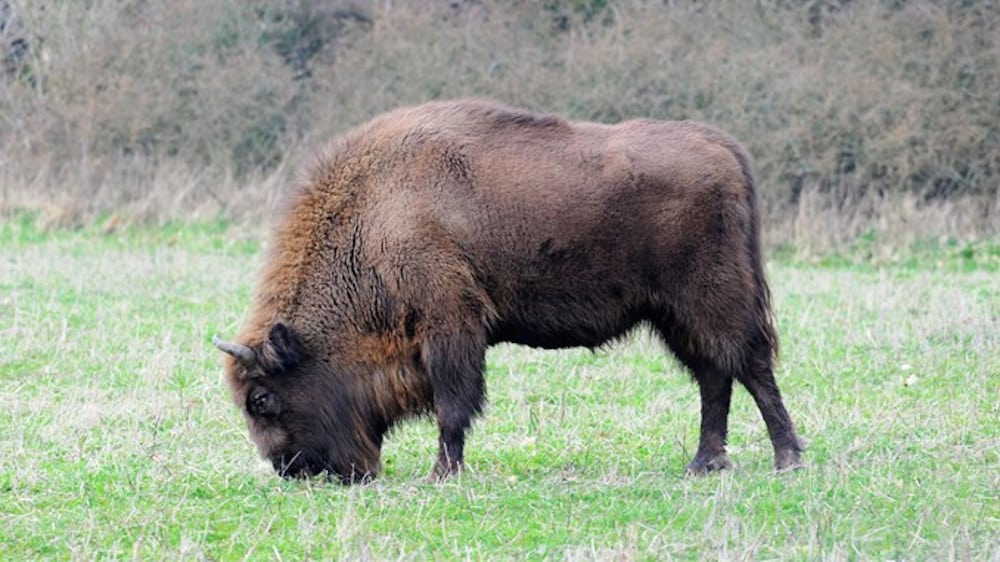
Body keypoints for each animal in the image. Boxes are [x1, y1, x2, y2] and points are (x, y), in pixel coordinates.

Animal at [213, 99, 803, 483]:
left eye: (261, 400)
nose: (291, 470)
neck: (376, 214)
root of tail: (722, 148)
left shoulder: (450, 325)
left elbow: (453, 403)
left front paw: (443, 473)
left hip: (713, 299)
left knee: (750, 367)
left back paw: (787, 459)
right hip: (675, 315)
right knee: (714, 375)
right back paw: (706, 464)